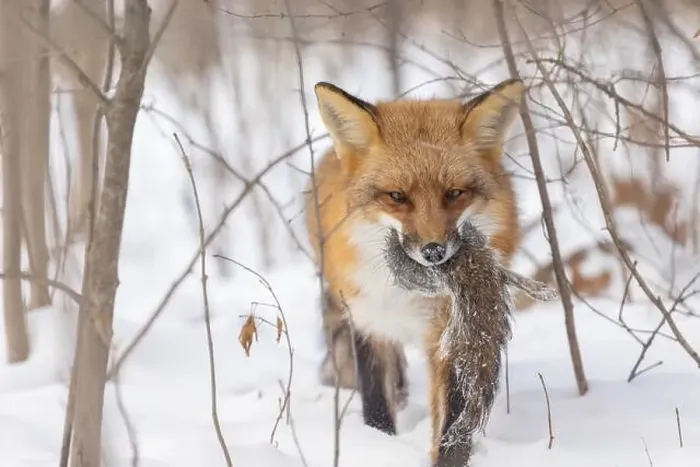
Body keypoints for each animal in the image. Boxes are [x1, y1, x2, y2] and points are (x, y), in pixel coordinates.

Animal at [304, 78, 525, 466]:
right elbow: (376, 402)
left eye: (454, 193)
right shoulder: (368, 320)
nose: (434, 251)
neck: (408, 293)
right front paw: (378, 445)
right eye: (396, 196)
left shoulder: (453, 332)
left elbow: (452, 422)